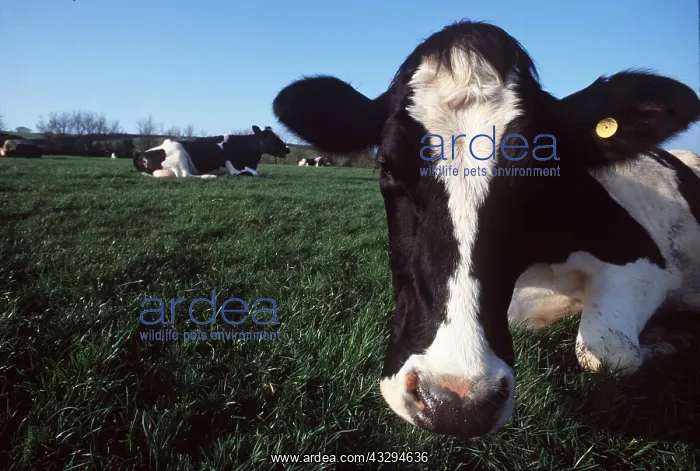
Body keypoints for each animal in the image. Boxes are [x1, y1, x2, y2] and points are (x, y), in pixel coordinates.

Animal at [133, 125, 290, 178]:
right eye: (273, 137)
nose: (288, 148)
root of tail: (141, 154)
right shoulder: (235, 168)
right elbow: (253, 174)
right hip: (179, 153)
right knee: (184, 175)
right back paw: (209, 176)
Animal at [272, 20, 700, 439]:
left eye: (540, 174)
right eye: (389, 167)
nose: (454, 404)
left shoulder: (642, 259)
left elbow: (609, 352)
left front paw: (669, 342)